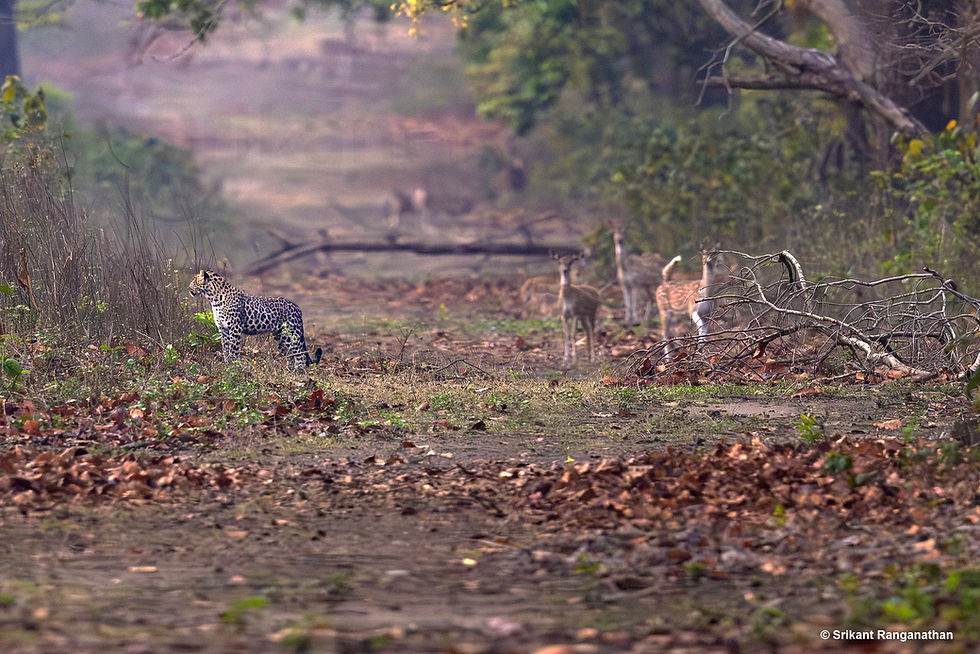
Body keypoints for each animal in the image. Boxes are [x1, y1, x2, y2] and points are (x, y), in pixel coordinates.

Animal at [188, 270, 322, 370]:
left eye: (194, 280)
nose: (188, 288)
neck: (214, 299)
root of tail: (297, 307)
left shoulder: (235, 328)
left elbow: (233, 348)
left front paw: (235, 365)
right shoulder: (223, 328)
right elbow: (225, 347)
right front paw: (227, 364)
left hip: (292, 334)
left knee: (300, 353)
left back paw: (299, 371)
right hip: (281, 336)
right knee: (290, 354)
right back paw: (290, 371)